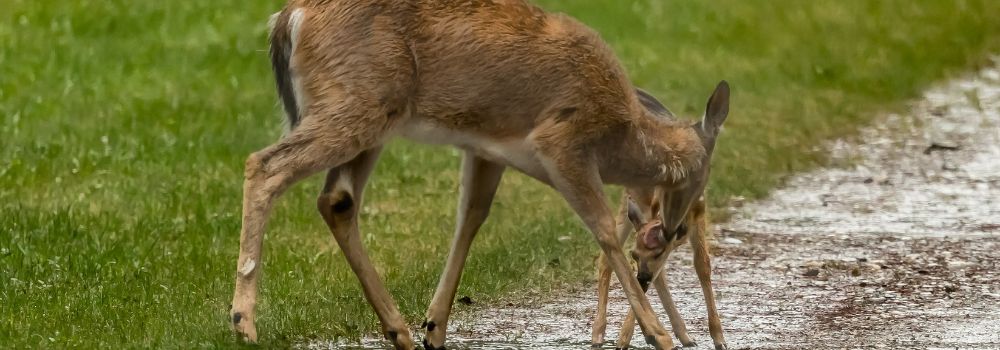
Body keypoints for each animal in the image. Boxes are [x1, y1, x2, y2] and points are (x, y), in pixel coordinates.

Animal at [229, 1, 728, 348]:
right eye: (702, 174)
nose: (673, 228)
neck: (620, 134)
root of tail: (288, 18)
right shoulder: (560, 141)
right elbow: (603, 229)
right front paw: (658, 335)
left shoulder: (488, 148)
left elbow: (471, 217)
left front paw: (434, 327)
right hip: (355, 106)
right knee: (265, 165)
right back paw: (243, 323)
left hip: (372, 118)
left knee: (337, 199)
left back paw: (398, 331)